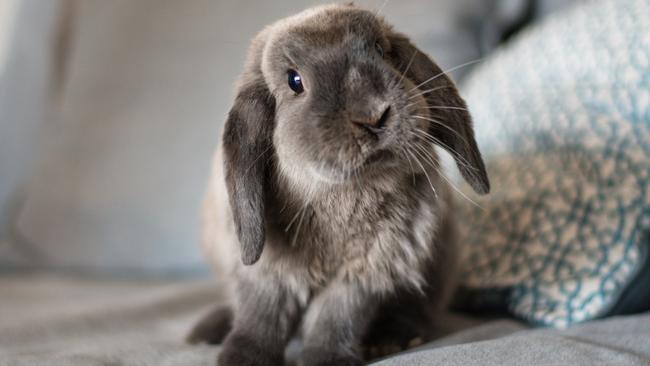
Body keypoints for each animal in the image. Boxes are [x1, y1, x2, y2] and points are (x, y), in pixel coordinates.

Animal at [186, 3, 486, 366]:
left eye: (381, 51)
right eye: (294, 81)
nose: (373, 115)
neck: (341, 193)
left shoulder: (363, 274)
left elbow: (336, 317)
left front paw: (326, 359)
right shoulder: (267, 273)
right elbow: (261, 316)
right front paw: (242, 359)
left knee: (418, 311)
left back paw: (391, 339)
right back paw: (206, 331)